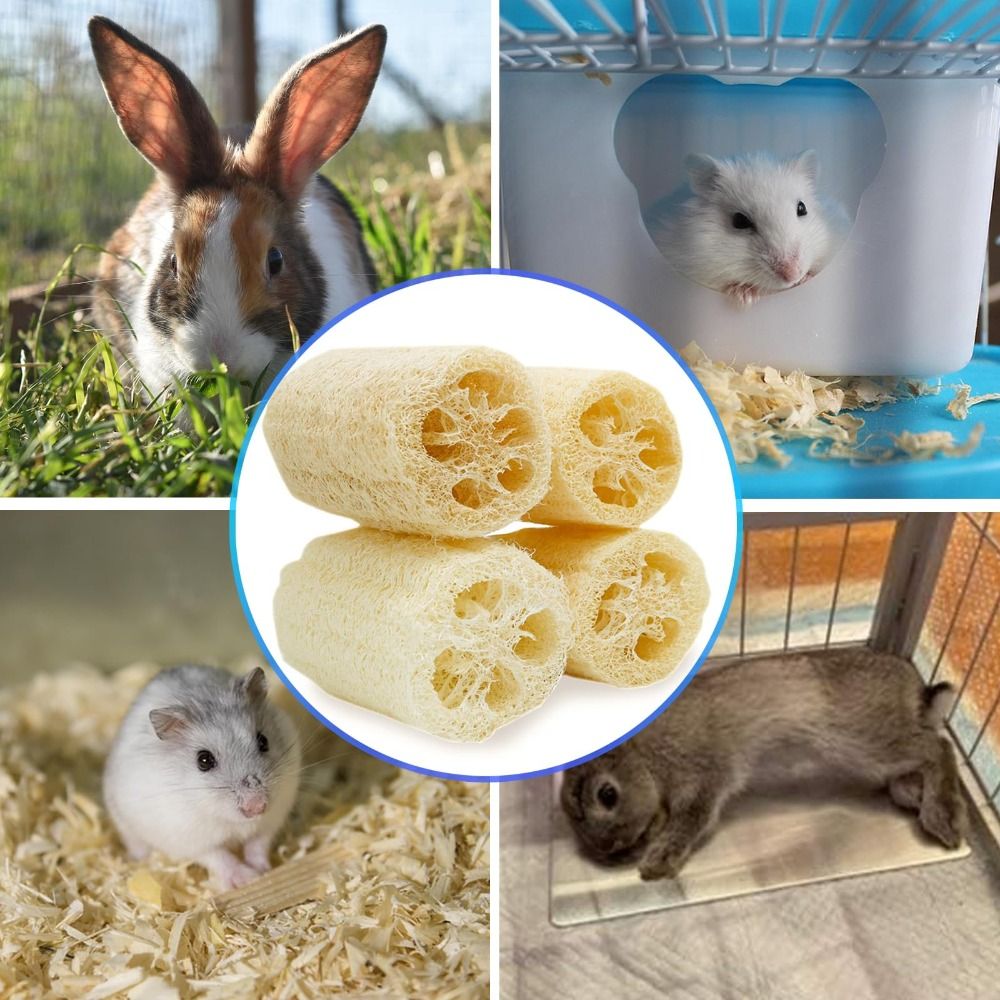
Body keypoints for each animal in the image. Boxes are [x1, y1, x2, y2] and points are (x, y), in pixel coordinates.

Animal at [104, 665, 301, 890]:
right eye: (204, 760)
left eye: (263, 741)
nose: (257, 807)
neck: (231, 820)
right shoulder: (189, 840)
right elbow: (219, 857)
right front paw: (248, 878)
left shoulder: (271, 819)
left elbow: (258, 843)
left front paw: (263, 869)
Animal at [561, 648, 968, 881]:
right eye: (572, 818)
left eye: (608, 794)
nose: (607, 849)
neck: (643, 755)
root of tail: (913, 687)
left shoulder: (703, 776)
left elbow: (691, 820)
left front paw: (657, 863)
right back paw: (912, 793)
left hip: (867, 739)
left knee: (937, 747)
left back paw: (943, 817)